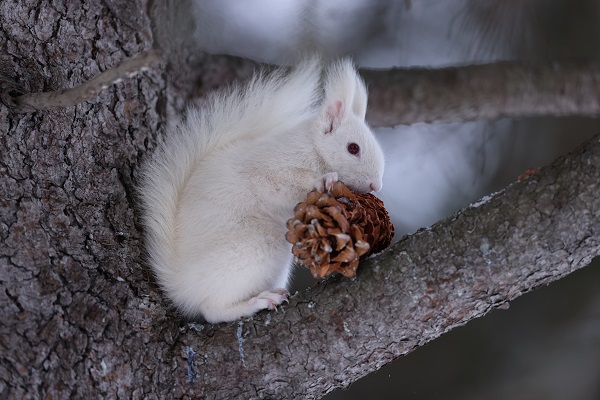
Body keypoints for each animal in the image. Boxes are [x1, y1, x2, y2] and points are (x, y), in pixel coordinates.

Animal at [139, 57, 384, 324]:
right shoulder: (268, 170)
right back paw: (257, 302)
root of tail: (181, 288)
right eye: (353, 148)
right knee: (212, 310)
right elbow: (282, 186)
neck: (313, 149)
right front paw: (323, 180)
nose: (376, 186)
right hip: (252, 251)